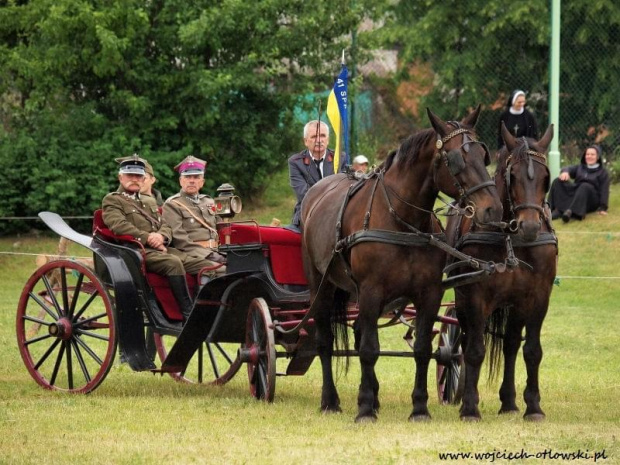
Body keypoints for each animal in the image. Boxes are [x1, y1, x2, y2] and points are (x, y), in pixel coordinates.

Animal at [300, 107, 504, 422]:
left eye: (483, 156)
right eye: (456, 158)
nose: (493, 209)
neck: (403, 220)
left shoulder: (429, 294)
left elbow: (422, 349)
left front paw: (419, 408)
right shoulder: (371, 291)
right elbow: (369, 350)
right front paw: (364, 410)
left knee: (358, 331)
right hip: (321, 286)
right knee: (326, 341)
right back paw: (331, 400)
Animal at [446, 122, 556, 420]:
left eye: (546, 178)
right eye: (513, 175)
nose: (530, 226)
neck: (511, 238)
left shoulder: (538, 296)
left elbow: (531, 350)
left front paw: (534, 406)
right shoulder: (475, 295)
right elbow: (474, 350)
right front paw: (470, 407)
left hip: (515, 304)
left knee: (510, 344)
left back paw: (508, 402)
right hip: (462, 298)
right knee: (466, 341)